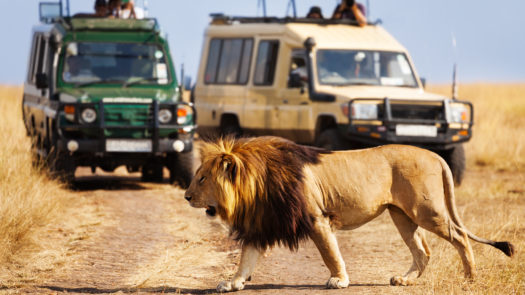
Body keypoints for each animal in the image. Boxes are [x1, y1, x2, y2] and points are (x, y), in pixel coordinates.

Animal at [183, 137, 512, 294]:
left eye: (202, 178)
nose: (186, 196)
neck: (256, 186)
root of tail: (435, 155)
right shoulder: (261, 225)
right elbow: (245, 259)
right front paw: (232, 283)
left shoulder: (317, 218)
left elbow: (330, 253)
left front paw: (339, 280)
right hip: (402, 215)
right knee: (423, 251)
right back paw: (404, 281)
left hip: (426, 209)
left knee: (460, 237)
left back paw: (470, 278)